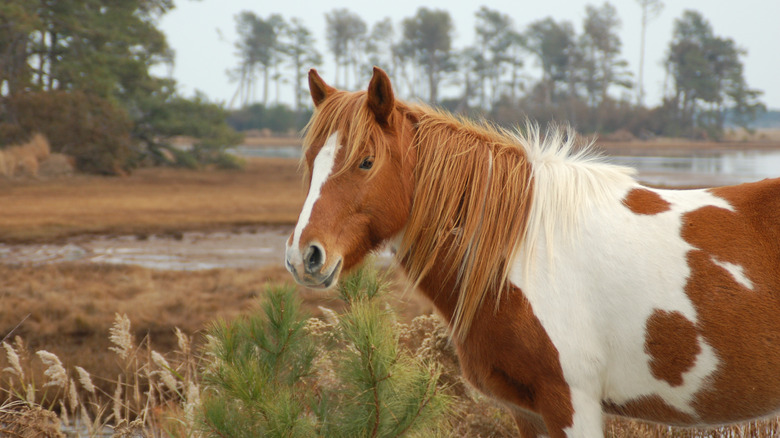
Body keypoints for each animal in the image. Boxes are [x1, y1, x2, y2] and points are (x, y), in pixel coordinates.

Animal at [284, 67, 780, 437]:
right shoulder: (528, 412)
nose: (305, 257)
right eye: (309, 160)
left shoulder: (570, 403)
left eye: (366, 161)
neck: (525, 251)